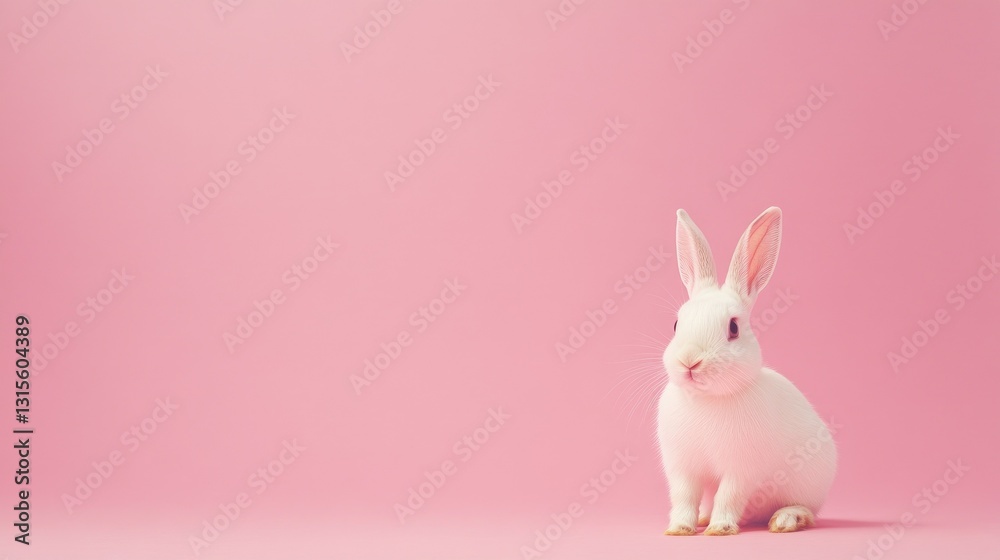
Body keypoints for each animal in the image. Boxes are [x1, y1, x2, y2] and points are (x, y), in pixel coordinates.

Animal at [657, 207, 836, 536]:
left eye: (733, 328)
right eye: (676, 325)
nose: (690, 361)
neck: (707, 399)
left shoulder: (741, 469)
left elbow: (728, 496)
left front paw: (720, 529)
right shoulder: (683, 468)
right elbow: (684, 498)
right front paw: (679, 529)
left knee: (806, 509)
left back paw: (786, 520)